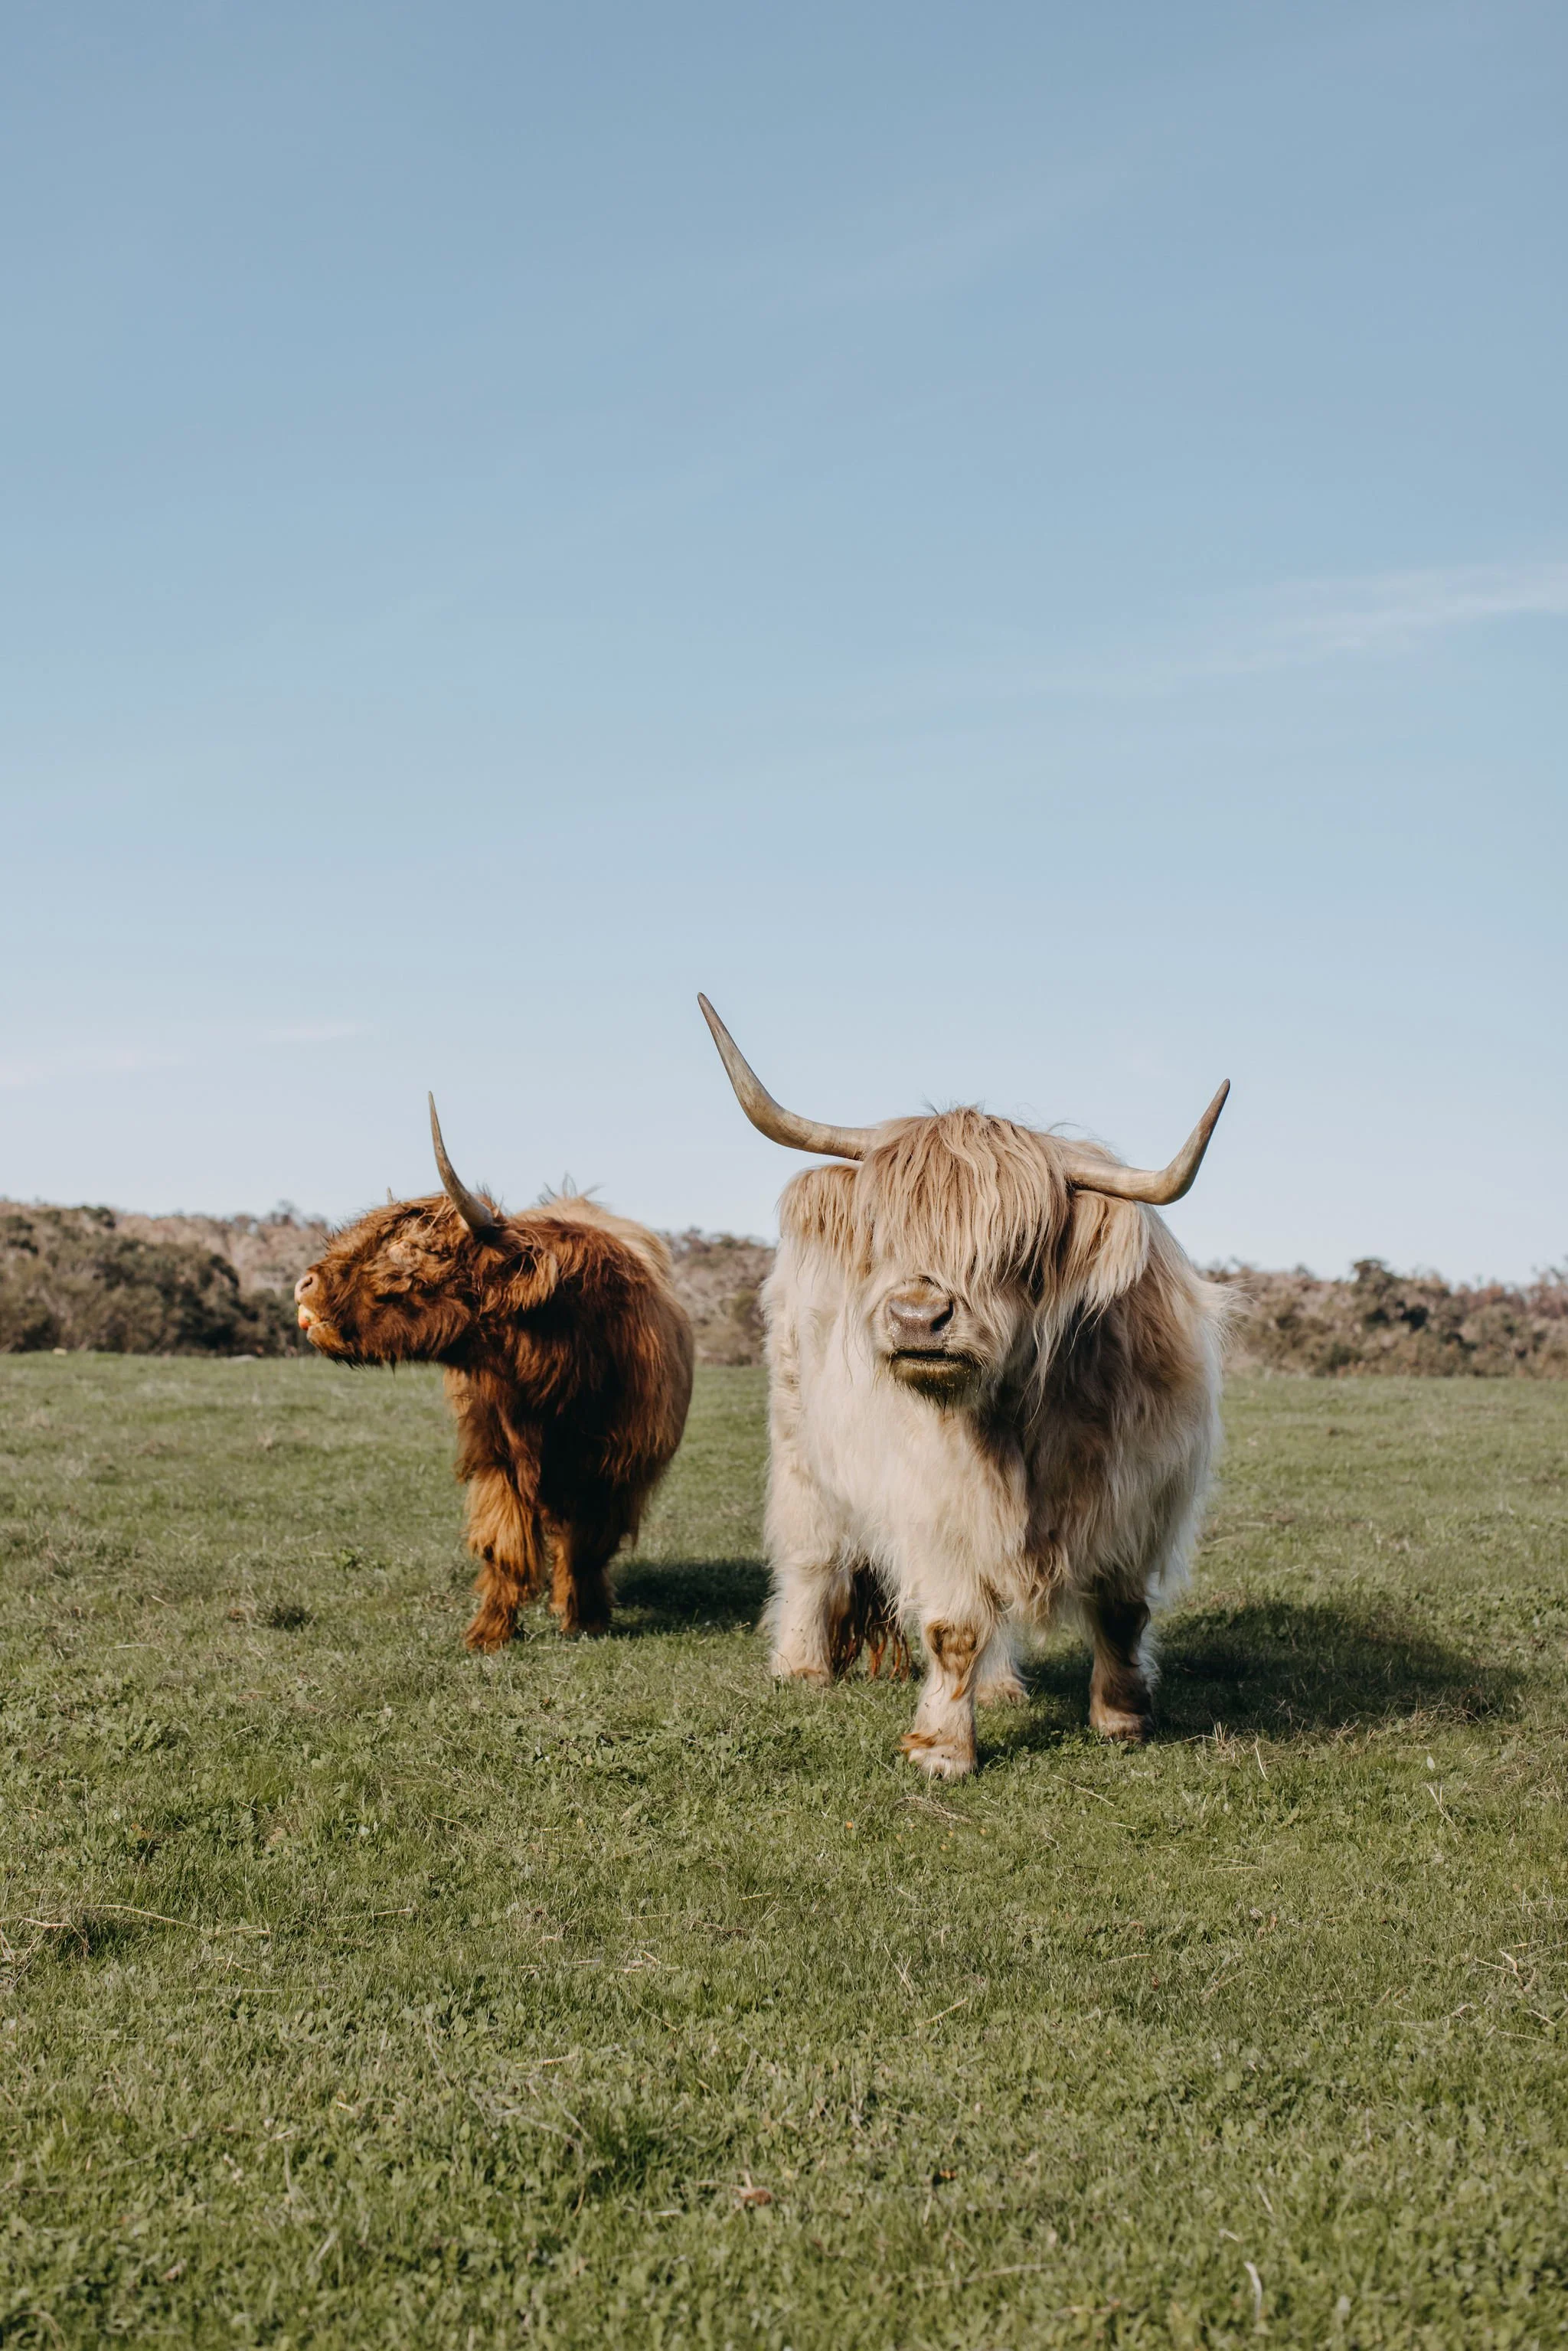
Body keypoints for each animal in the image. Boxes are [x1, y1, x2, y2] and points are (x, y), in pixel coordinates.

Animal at [293, 1100, 694, 1650]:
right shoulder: (497, 1455)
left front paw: (586, 1617)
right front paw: (488, 1633)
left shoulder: (618, 1468)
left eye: (410, 1250)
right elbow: (505, 1546)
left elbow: (589, 1547)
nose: (304, 1283)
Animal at [698, 996, 1231, 1778]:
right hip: (801, 1449)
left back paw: (1003, 1687)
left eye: (1017, 1245)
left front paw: (1123, 1717)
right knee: (811, 1553)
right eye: (881, 1232)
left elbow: (1123, 1611)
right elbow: (955, 1627)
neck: (1022, 1419)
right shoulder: (937, 1503)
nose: (918, 1316)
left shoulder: (1142, 1495)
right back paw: (800, 1664)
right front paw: (943, 1748)